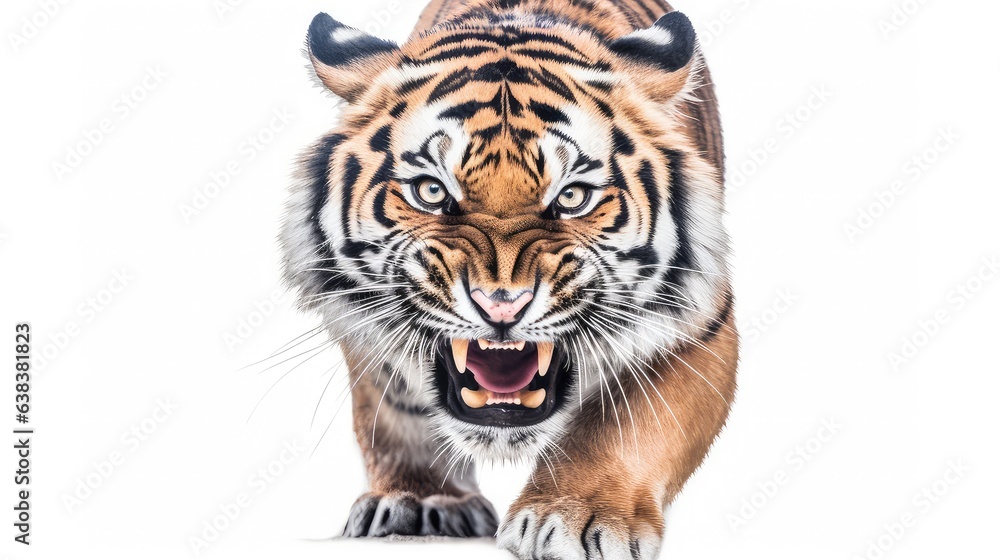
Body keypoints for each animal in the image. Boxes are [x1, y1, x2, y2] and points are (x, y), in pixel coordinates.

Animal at [280, 0, 737, 557]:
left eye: (572, 197)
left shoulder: (699, 329)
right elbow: (391, 414)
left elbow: (628, 428)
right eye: (431, 191)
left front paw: (573, 516)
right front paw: (420, 500)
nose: (501, 304)